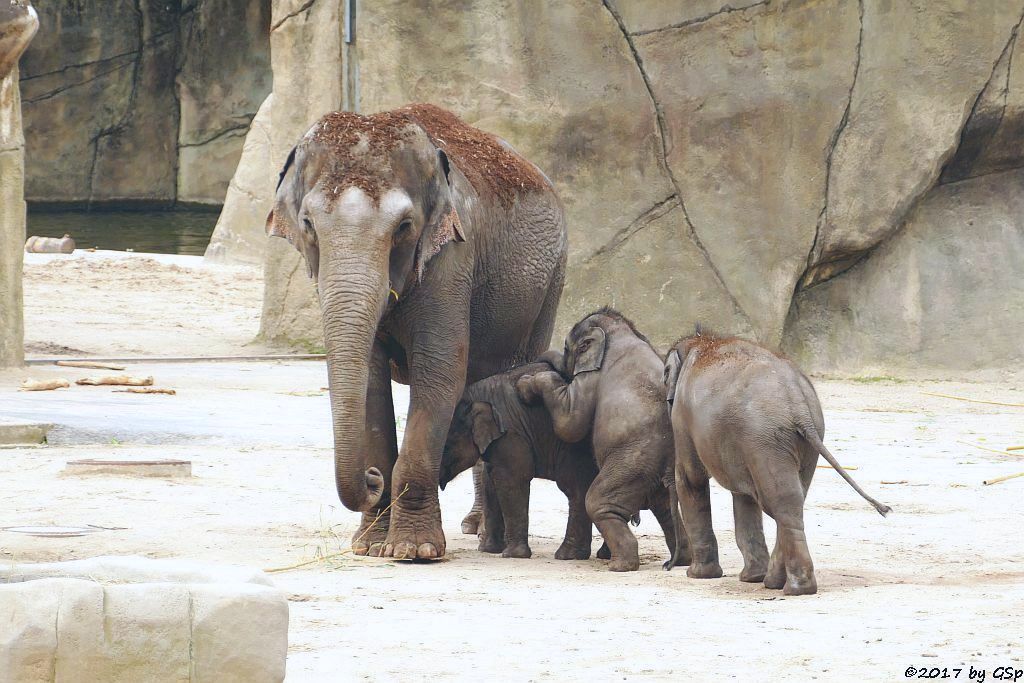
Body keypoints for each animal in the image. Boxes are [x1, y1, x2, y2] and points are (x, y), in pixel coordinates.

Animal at [266, 102, 569, 561]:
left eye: (404, 226)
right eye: (308, 224)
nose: (373, 479)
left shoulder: (453, 259)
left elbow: (438, 374)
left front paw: (414, 550)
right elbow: (371, 382)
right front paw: (370, 546)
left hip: (549, 285)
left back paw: (481, 532)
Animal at [438, 360, 598, 557]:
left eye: (446, 445)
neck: (475, 395)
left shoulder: (511, 433)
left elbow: (512, 479)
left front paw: (513, 555)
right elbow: (490, 482)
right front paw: (488, 550)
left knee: (574, 487)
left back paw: (567, 556)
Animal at [516, 309, 692, 573]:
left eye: (567, 348)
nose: (544, 357)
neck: (621, 331)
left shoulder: (591, 377)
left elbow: (570, 423)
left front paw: (524, 387)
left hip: (633, 463)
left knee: (598, 502)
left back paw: (620, 566)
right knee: (664, 510)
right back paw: (679, 561)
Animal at [663, 327, 888, 593]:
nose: (668, 566)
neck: (702, 340)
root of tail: (798, 404)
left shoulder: (682, 419)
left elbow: (690, 479)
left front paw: (698, 575)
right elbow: (743, 497)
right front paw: (751, 577)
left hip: (764, 438)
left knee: (779, 502)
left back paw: (794, 587)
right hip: (796, 441)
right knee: (790, 499)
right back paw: (775, 582)